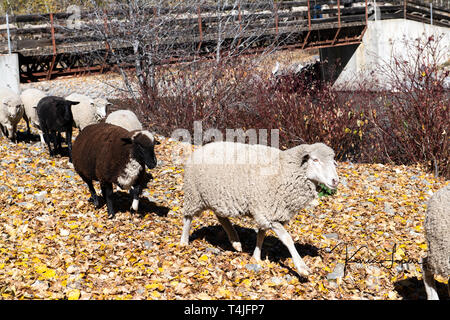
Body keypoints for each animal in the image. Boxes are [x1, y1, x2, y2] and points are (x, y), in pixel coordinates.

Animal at [179, 141, 338, 276]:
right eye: (315, 160)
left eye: (333, 162)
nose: (335, 180)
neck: (284, 170)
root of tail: (200, 149)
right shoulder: (269, 213)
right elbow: (287, 239)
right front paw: (302, 267)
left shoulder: (268, 212)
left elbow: (261, 234)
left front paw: (256, 257)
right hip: (194, 194)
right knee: (188, 217)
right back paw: (184, 241)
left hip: (217, 197)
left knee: (221, 217)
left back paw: (235, 241)